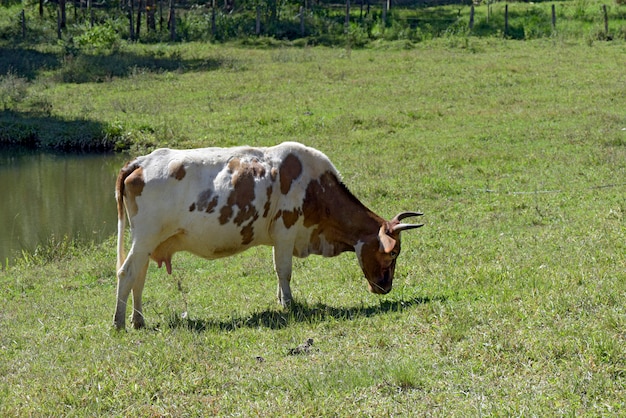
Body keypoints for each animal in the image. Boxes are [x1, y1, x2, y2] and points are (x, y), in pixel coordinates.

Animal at [114, 141, 422, 330]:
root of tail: (141, 160)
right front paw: (288, 304)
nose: (386, 287)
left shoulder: (280, 237)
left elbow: (278, 272)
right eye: (394, 252)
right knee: (126, 273)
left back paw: (138, 320)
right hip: (145, 237)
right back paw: (119, 322)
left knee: (139, 277)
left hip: (147, 242)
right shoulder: (286, 230)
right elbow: (284, 270)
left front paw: (280, 299)